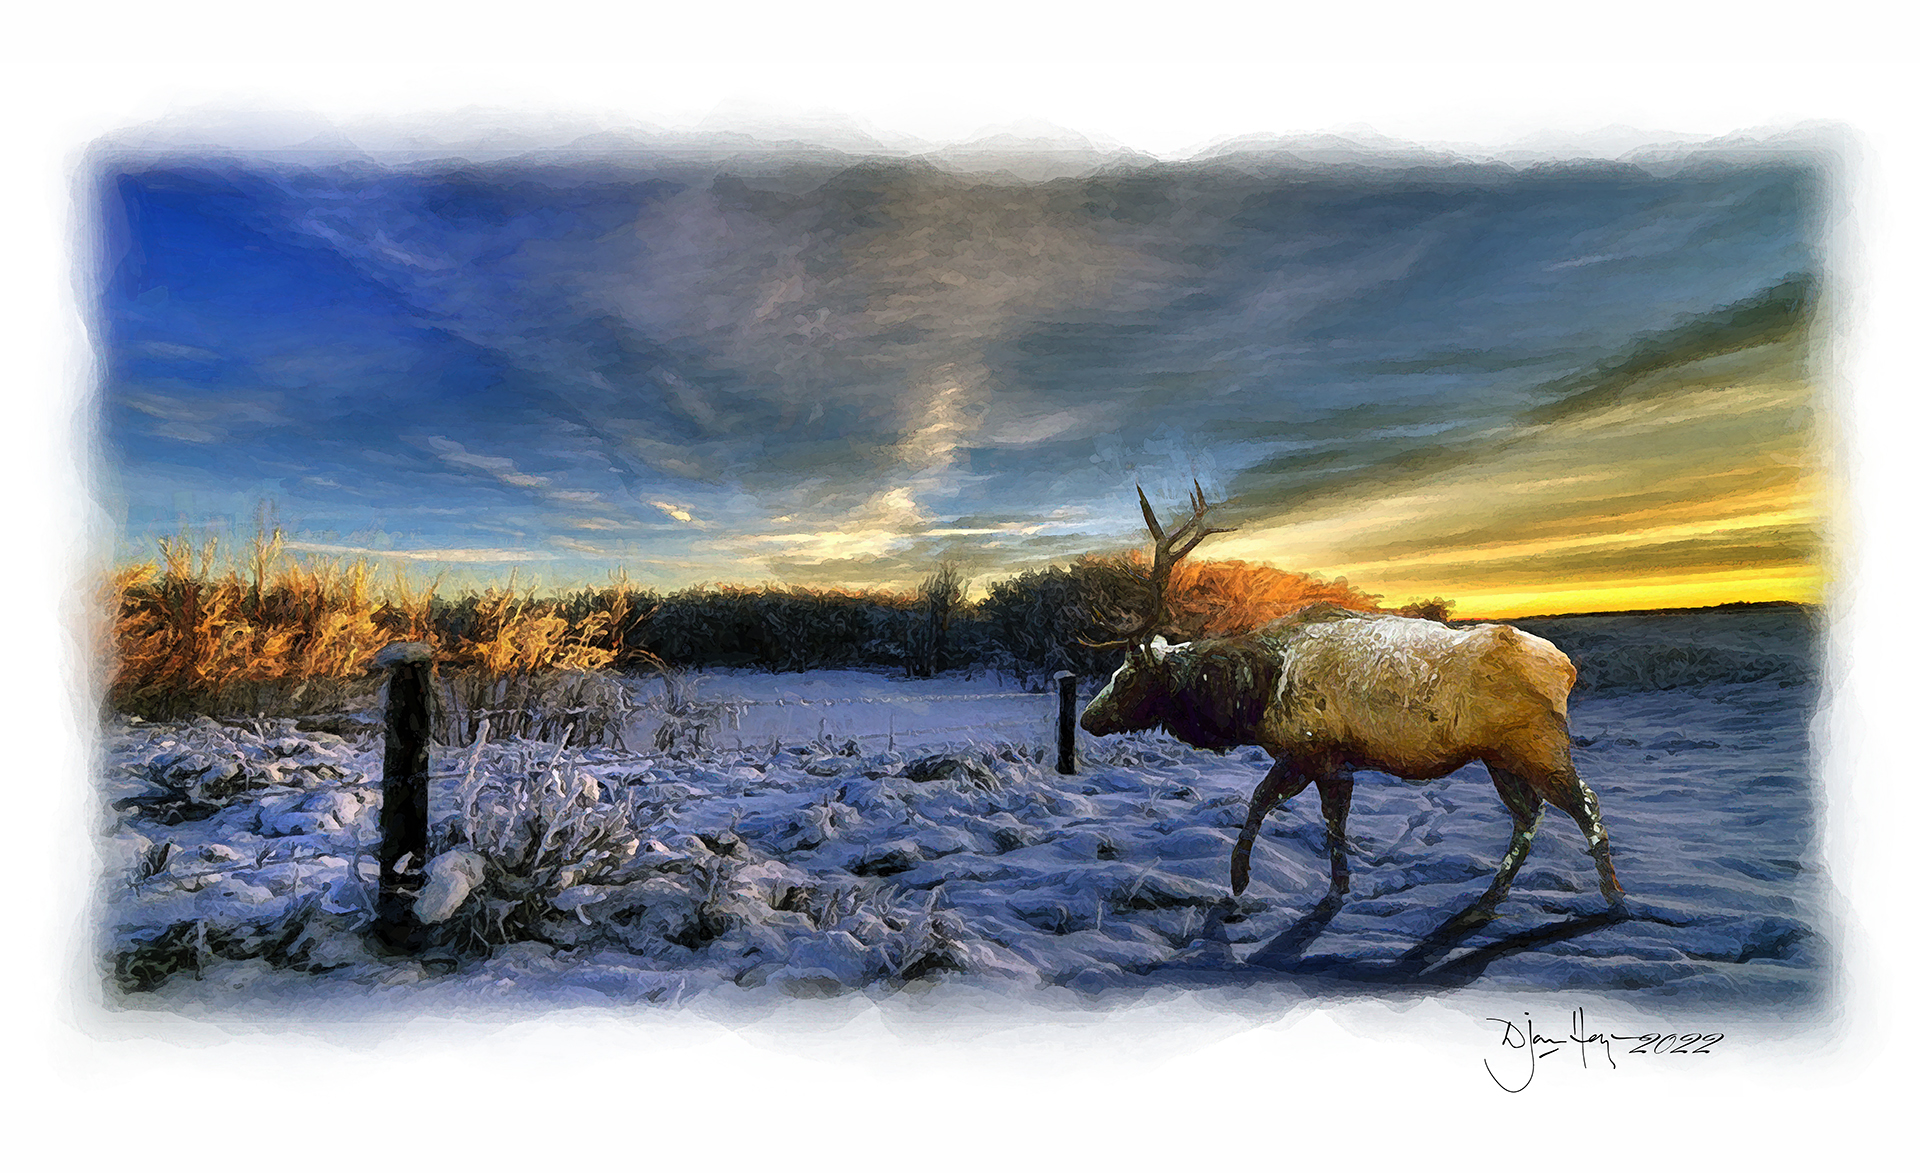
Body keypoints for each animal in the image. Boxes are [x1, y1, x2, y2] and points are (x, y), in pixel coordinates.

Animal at [1078, 484, 1626, 916]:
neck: (1254, 693)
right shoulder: (1336, 762)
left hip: (1538, 746)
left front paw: (1240, 879)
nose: (1087, 718)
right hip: (1499, 757)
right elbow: (1333, 824)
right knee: (1528, 815)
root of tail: (1566, 668)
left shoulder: (1310, 750)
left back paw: (1615, 897)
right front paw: (1338, 885)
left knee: (1584, 803)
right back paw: (1490, 898)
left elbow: (1263, 802)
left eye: (1126, 677)